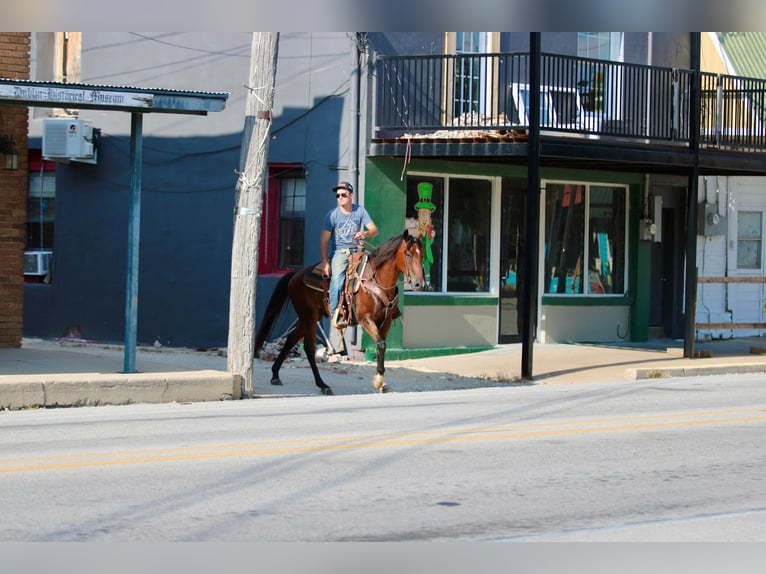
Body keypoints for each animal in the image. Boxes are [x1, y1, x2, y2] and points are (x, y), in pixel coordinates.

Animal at [256, 230, 426, 396]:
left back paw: (275, 375)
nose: (420, 284)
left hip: (308, 317)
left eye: (422, 255)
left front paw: (382, 383)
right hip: (309, 317)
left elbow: (381, 347)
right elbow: (381, 344)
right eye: (408, 254)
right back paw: (323, 385)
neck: (377, 281)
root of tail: (296, 275)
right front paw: (378, 380)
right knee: (309, 348)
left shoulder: (386, 322)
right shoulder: (366, 319)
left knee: (291, 340)